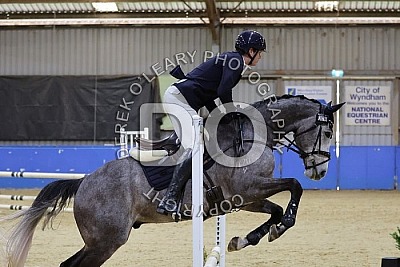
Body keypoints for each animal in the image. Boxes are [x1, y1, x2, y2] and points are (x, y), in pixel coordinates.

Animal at [0, 95, 344, 266]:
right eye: (327, 131)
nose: (320, 171)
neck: (255, 133)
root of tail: (83, 182)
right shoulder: (247, 189)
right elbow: (294, 187)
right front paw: (281, 226)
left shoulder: (246, 198)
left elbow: (275, 209)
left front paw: (246, 239)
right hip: (107, 241)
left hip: (101, 241)